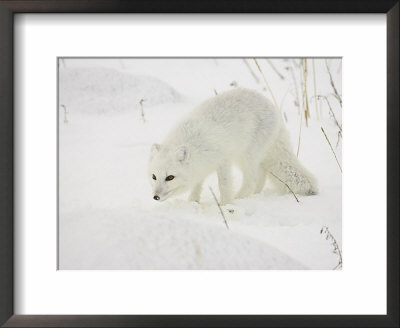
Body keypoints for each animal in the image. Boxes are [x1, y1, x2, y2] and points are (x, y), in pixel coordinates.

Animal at [148, 88, 318, 204]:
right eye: (154, 176)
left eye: (170, 177)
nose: (155, 197)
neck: (192, 141)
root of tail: (274, 108)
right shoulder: (201, 167)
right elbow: (197, 185)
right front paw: (193, 203)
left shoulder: (223, 161)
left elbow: (223, 185)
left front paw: (226, 205)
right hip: (243, 158)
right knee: (260, 176)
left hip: (247, 155)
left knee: (251, 181)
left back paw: (240, 199)